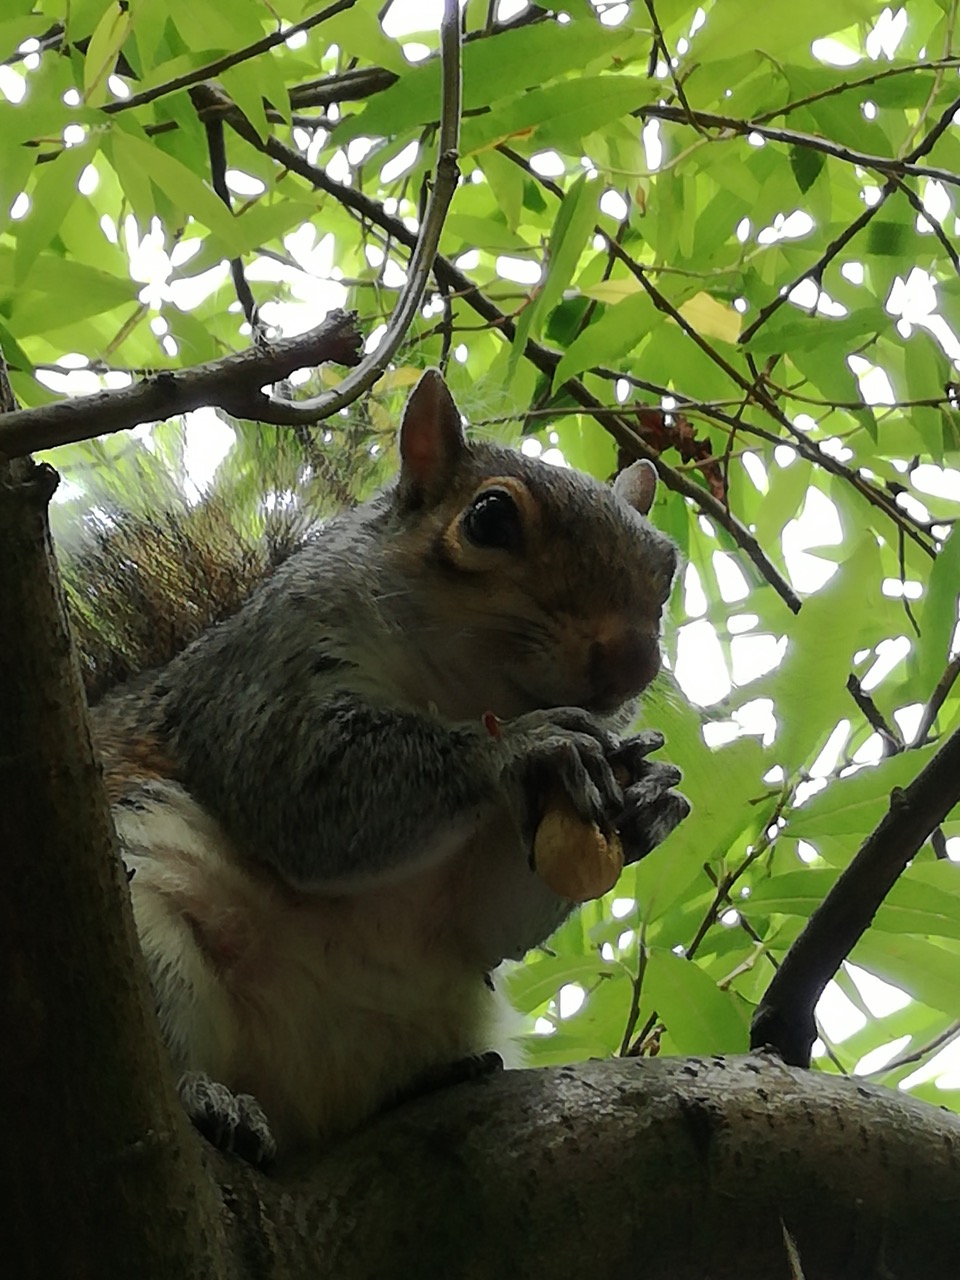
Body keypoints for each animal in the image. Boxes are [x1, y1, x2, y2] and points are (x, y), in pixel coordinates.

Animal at [80, 369, 689, 1166]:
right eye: (489, 518)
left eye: (667, 567)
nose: (635, 661)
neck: (461, 693)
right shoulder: (262, 679)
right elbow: (301, 792)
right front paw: (520, 744)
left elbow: (494, 921)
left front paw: (647, 801)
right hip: (145, 936)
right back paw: (210, 1099)